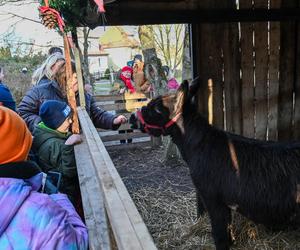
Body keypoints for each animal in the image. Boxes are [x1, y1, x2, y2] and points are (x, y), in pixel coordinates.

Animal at [129, 79, 300, 250]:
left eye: (155, 109)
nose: (131, 117)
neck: (200, 146)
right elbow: (227, 229)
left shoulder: (213, 198)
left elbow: (219, 233)